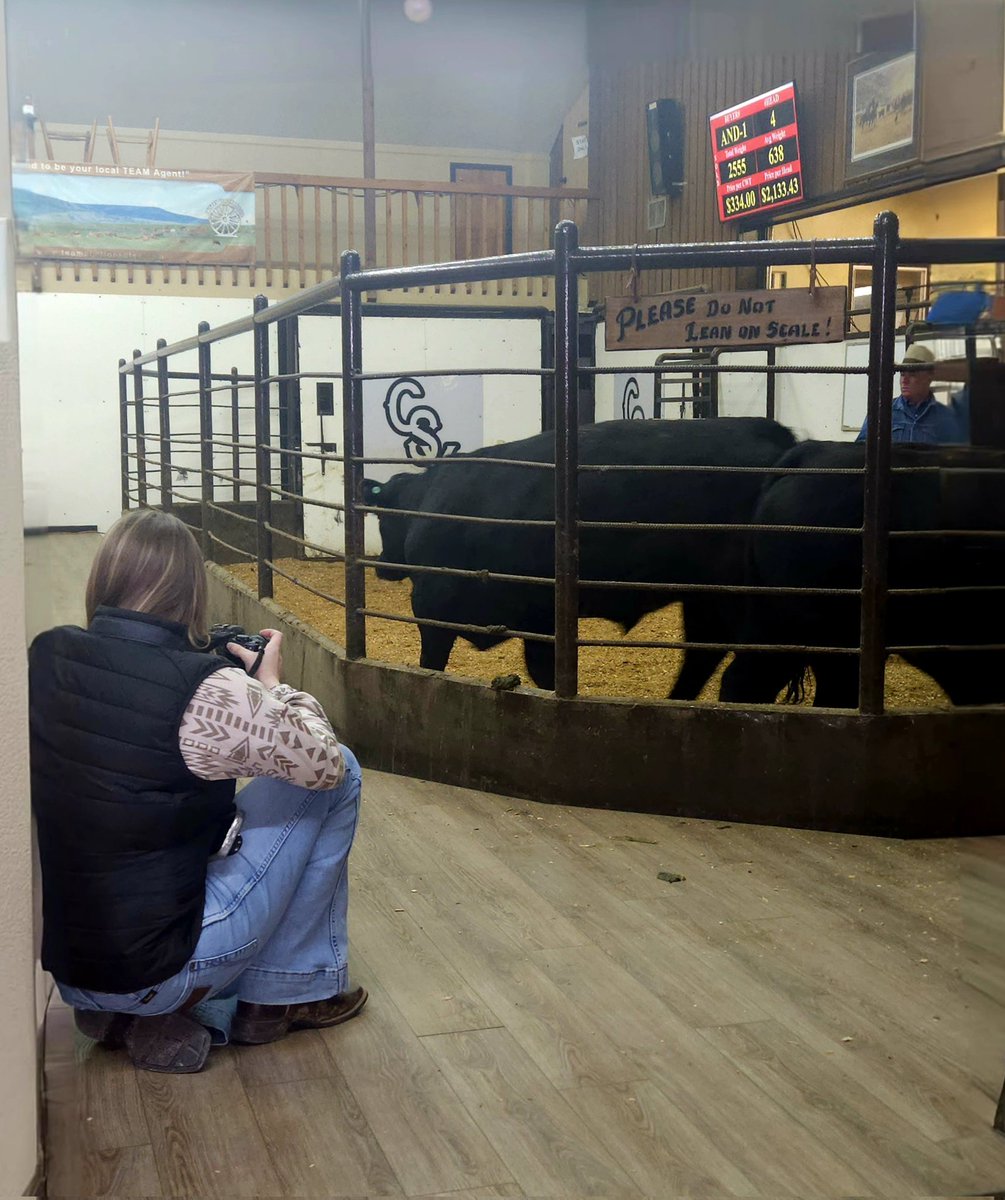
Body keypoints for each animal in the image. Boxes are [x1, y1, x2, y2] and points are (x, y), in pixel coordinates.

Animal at [362, 417, 796, 696]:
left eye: (383, 516)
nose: (382, 568)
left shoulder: (432, 609)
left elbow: (432, 664)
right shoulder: (538, 619)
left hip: (747, 605)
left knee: (750, 675)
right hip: (705, 598)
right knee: (703, 657)